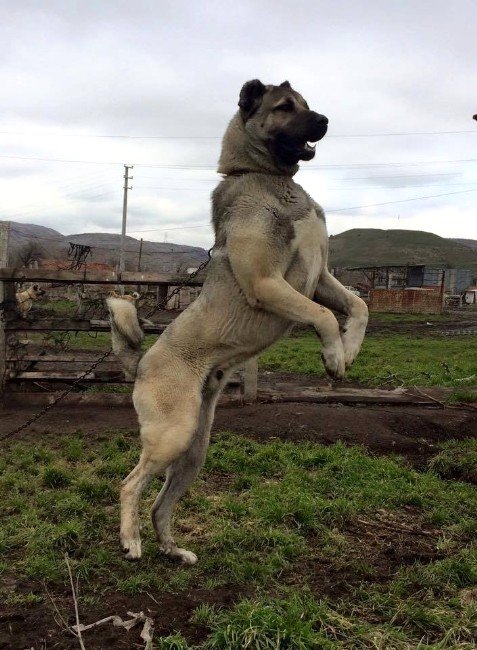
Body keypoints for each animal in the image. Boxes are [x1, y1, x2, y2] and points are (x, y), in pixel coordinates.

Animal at [108, 79, 368, 560]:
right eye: (284, 107)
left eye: (307, 105)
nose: (325, 120)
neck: (268, 179)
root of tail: (143, 362)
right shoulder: (267, 282)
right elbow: (323, 315)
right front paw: (333, 356)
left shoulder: (322, 277)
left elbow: (358, 306)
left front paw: (349, 349)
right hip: (171, 435)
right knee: (130, 485)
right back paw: (131, 541)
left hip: (195, 450)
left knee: (160, 503)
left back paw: (173, 551)